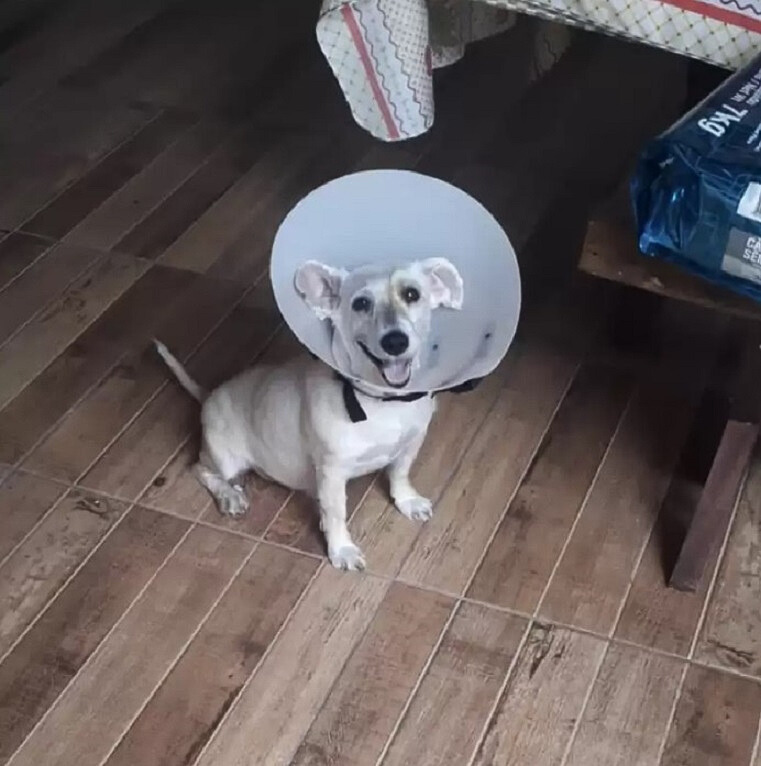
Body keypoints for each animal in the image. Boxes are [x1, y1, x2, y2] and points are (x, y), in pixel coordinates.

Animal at [155, 256, 464, 568]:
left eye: (412, 294)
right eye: (361, 303)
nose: (395, 341)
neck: (381, 401)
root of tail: (208, 395)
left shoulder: (411, 444)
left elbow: (400, 474)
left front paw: (407, 501)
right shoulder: (332, 471)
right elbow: (337, 512)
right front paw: (342, 550)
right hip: (225, 458)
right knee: (200, 469)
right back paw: (229, 496)